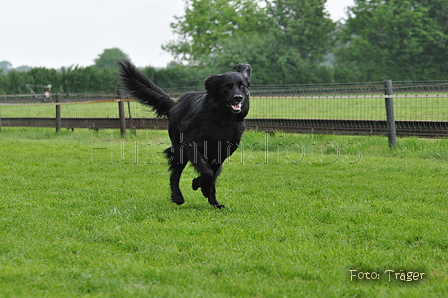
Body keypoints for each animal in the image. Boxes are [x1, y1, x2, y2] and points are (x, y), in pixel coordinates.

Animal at [117, 60, 250, 208]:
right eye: (227, 86)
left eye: (242, 86)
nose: (238, 98)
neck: (221, 119)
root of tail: (175, 105)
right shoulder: (191, 144)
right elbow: (207, 172)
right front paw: (201, 185)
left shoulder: (223, 152)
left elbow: (212, 173)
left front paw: (203, 187)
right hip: (179, 150)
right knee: (174, 176)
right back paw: (177, 197)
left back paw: (214, 203)